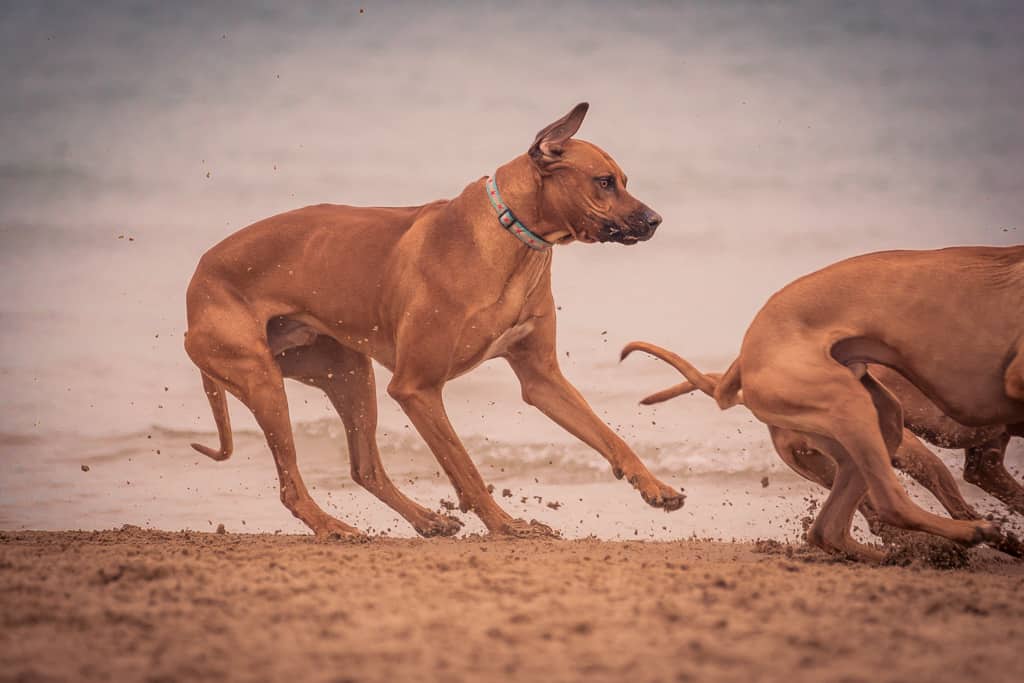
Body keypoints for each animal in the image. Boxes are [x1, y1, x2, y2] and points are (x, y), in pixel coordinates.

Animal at [186, 102, 679, 540]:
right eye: (604, 182)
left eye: (624, 181)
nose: (655, 220)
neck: (513, 238)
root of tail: (196, 280)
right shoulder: (416, 387)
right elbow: (465, 465)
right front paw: (506, 525)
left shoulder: (542, 379)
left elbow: (609, 436)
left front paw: (655, 486)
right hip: (262, 379)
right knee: (291, 485)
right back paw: (334, 527)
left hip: (346, 372)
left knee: (365, 469)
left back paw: (426, 520)